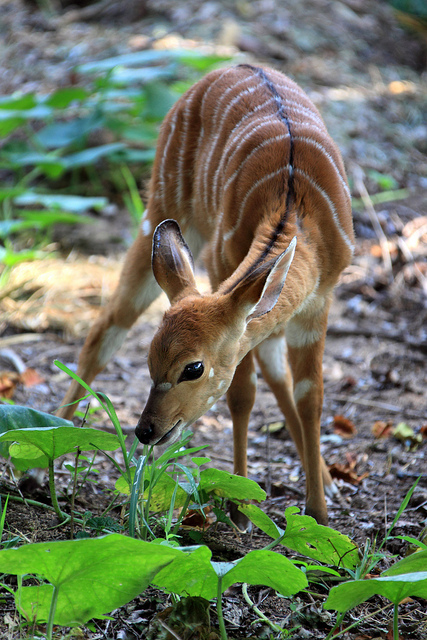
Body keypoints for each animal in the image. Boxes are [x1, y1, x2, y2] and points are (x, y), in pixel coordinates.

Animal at [57, 63, 354, 528]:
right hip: (159, 211)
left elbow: (311, 395)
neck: (295, 206)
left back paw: (323, 475)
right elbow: (242, 394)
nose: (145, 430)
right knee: (106, 326)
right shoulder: (222, 264)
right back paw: (39, 459)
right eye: (150, 360)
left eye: (193, 368)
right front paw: (240, 509)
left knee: (276, 370)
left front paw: (319, 513)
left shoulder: (320, 299)